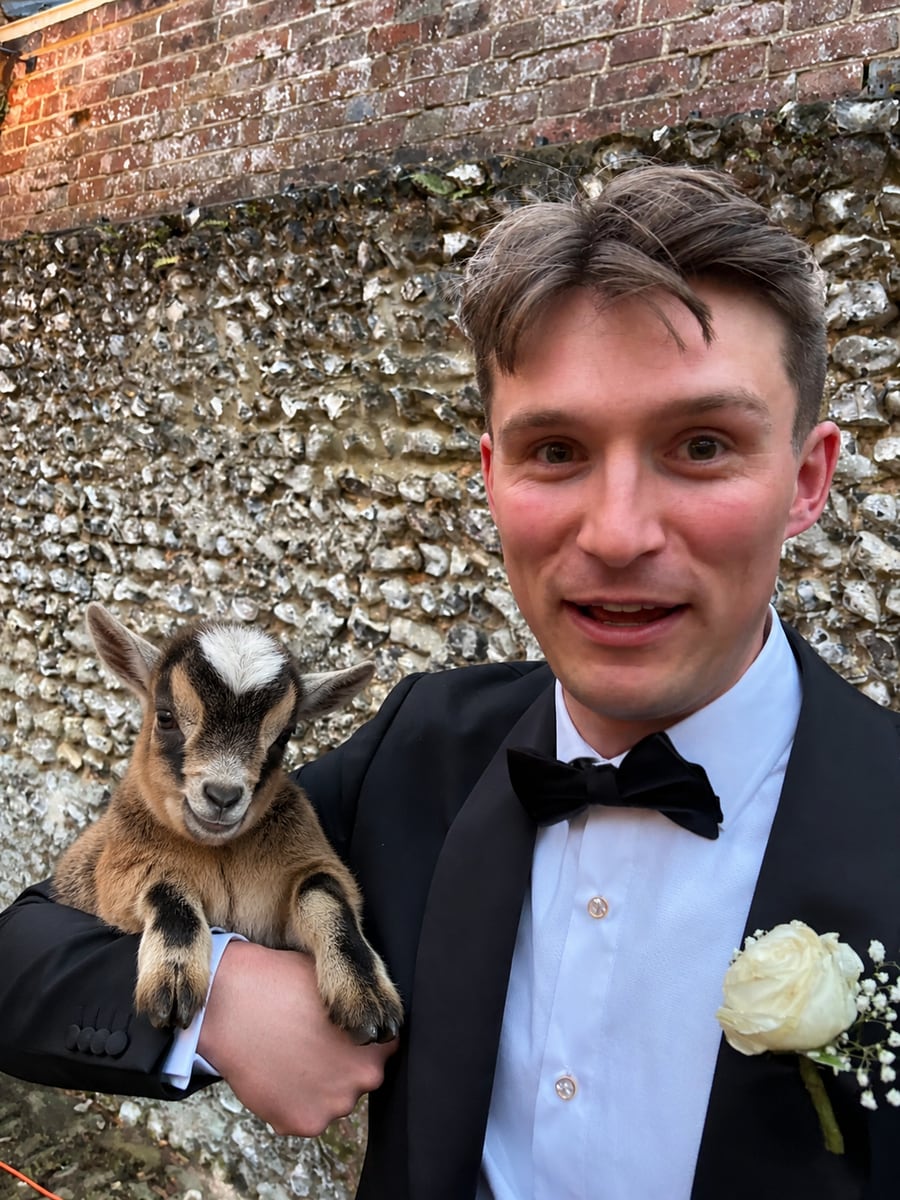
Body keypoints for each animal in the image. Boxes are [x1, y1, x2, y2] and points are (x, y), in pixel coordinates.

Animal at [53, 602, 403, 1044]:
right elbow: (167, 892)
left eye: (284, 737)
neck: (220, 853)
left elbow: (326, 894)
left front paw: (366, 996)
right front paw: (172, 984)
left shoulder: (302, 879)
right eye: (165, 716)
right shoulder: (118, 876)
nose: (222, 796)